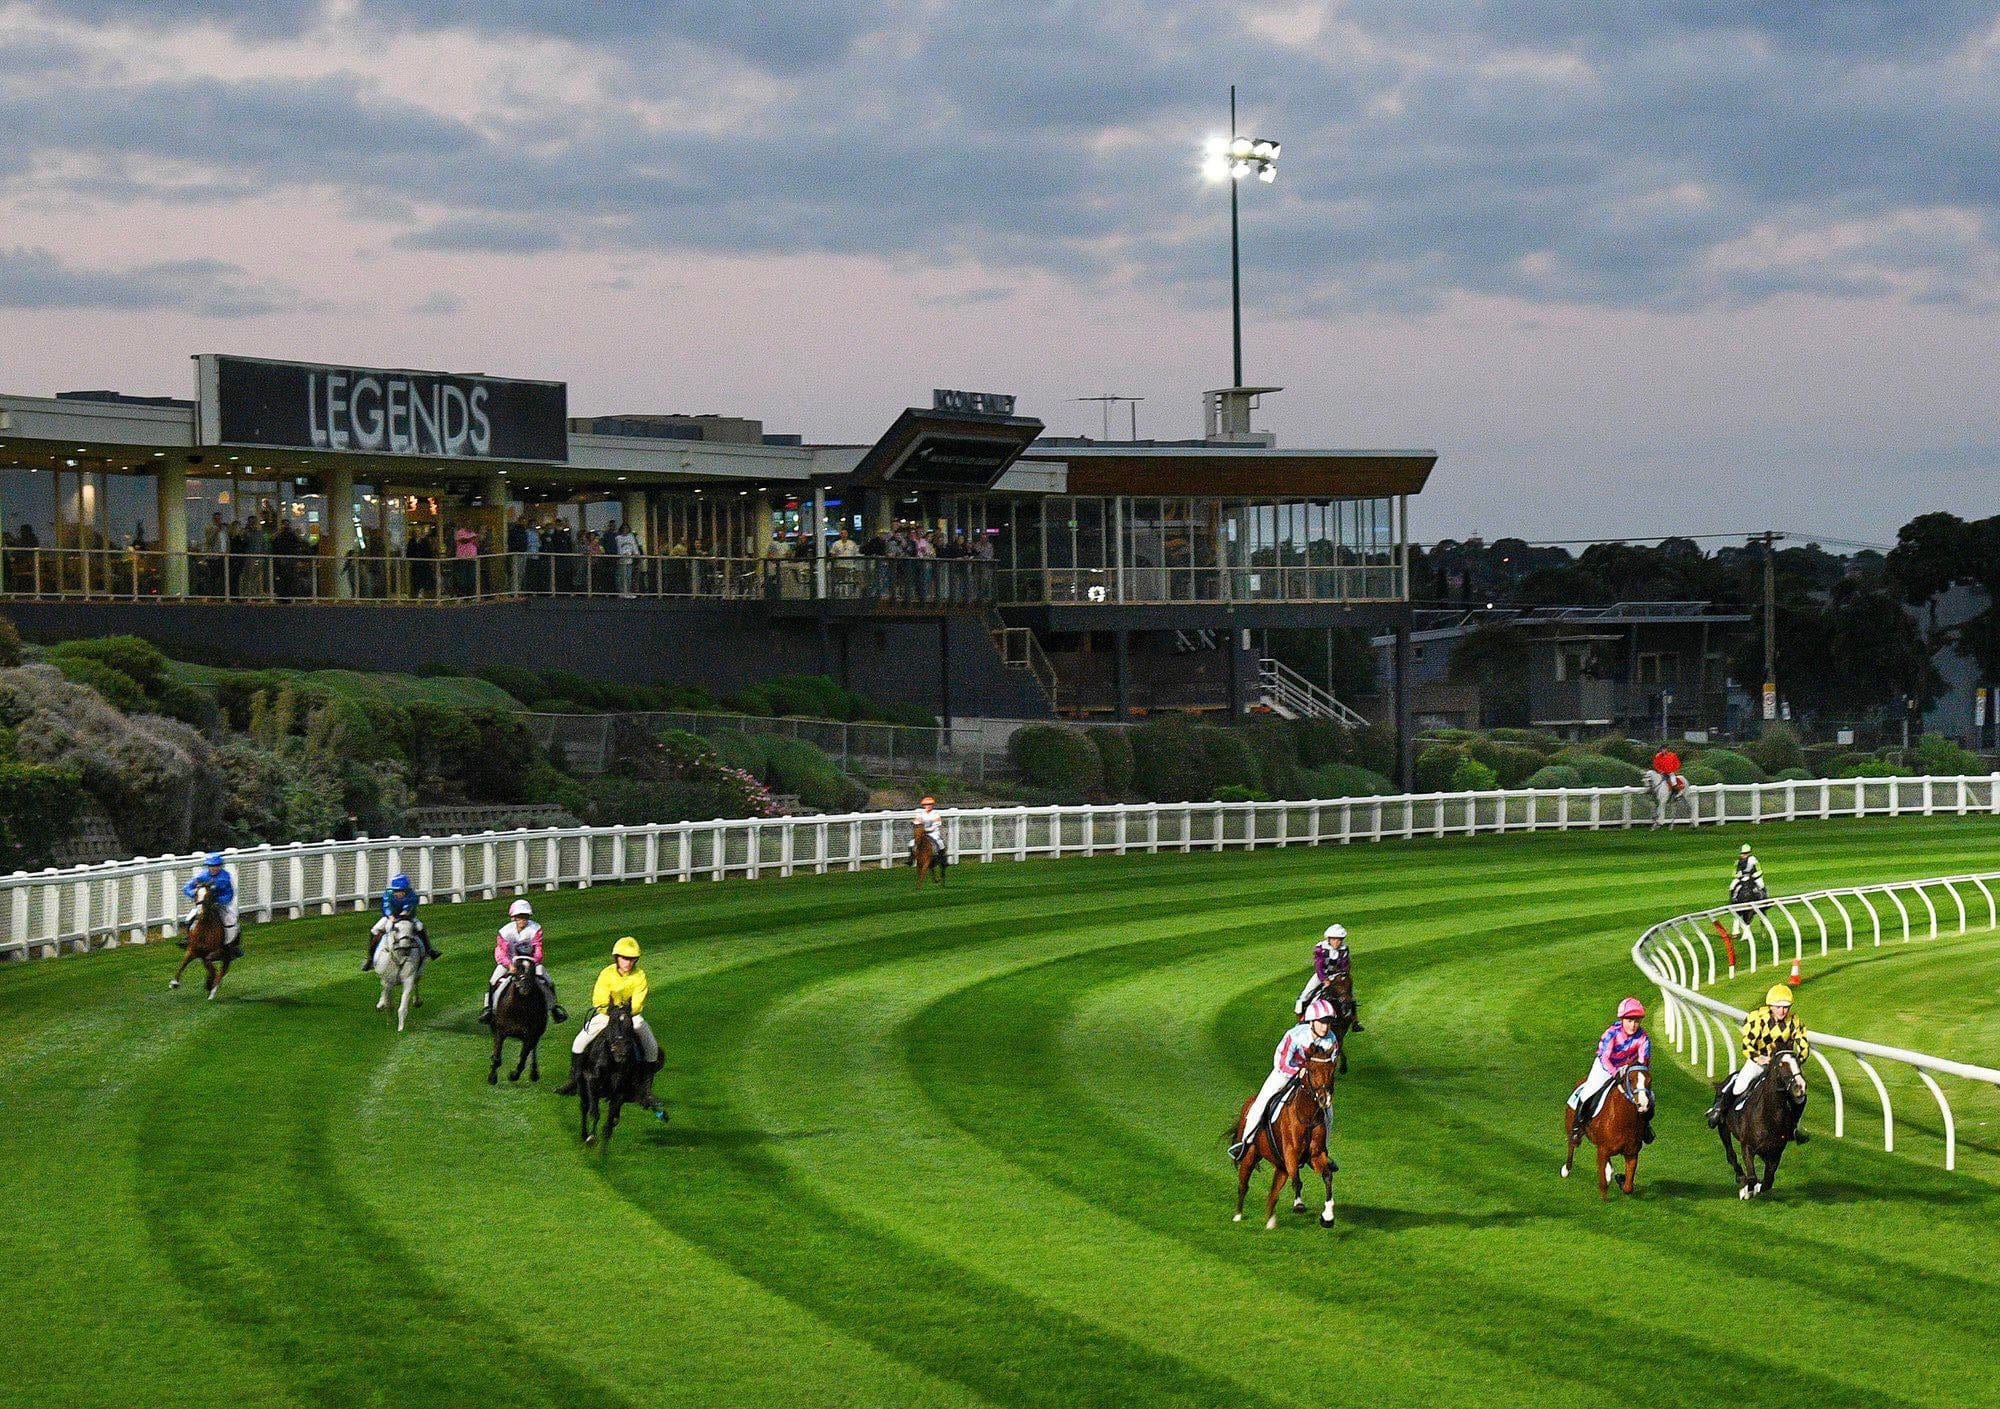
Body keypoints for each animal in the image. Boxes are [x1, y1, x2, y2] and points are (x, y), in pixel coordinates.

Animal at [486, 956, 548, 1088]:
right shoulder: (500, 1031)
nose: (525, 988)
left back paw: (534, 1073)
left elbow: (523, 1058)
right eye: (517, 970)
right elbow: (497, 1057)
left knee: (532, 1052)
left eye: (532, 970)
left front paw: (513, 1075)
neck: (519, 1007)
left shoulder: (530, 1035)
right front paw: (492, 1077)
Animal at [576, 996, 652, 1152]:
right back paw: (584, 1134)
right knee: (584, 1107)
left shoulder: (620, 1092)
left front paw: (604, 1145)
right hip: (582, 1086)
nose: (620, 1052)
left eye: (630, 1024)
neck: (613, 1062)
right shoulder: (591, 1081)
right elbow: (594, 1112)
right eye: (611, 1023)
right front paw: (591, 1137)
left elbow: (611, 1120)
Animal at [1224, 1048, 1336, 1224]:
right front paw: (1299, 1204)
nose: (1325, 1099)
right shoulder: (1290, 1152)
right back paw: (1238, 1216)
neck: (1307, 1116)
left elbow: (1327, 1175)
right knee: (1243, 1185)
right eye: (1311, 1069)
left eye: (1332, 1070)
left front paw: (1328, 1216)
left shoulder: (1316, 1154)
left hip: (1280, 1166)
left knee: (1273, 1192)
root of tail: (1249, 1102)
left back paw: (1270, 1222)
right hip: (1250, 1156)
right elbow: (1296, 1179)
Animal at [1560, 1064, 1656, 1200]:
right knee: (1571, 1145)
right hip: (1570, 1124)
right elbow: (1603, 1184)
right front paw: (1604, 1197)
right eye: (1630, 1080)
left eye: (1649, 1081)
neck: (1624, 1121)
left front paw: (1620, 1178)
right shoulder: (1602, 1149)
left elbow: (1628, 1187)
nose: (1643, 1104)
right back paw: (1567, 1169)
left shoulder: (1631, 1153)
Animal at [1712, 1048, 1808, 1200]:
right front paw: (1746, 1190)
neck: (1770, 1118)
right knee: (1730, 1154)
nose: (1800, 1087)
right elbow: (1752, 1176)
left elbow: (1768, 1181)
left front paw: (1756, 1187)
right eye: (1781, 1065)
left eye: (1798, 1062)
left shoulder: (1775, 1152)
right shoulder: (1747, 1146)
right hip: (1723, 1127)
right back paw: (1740, 1177)